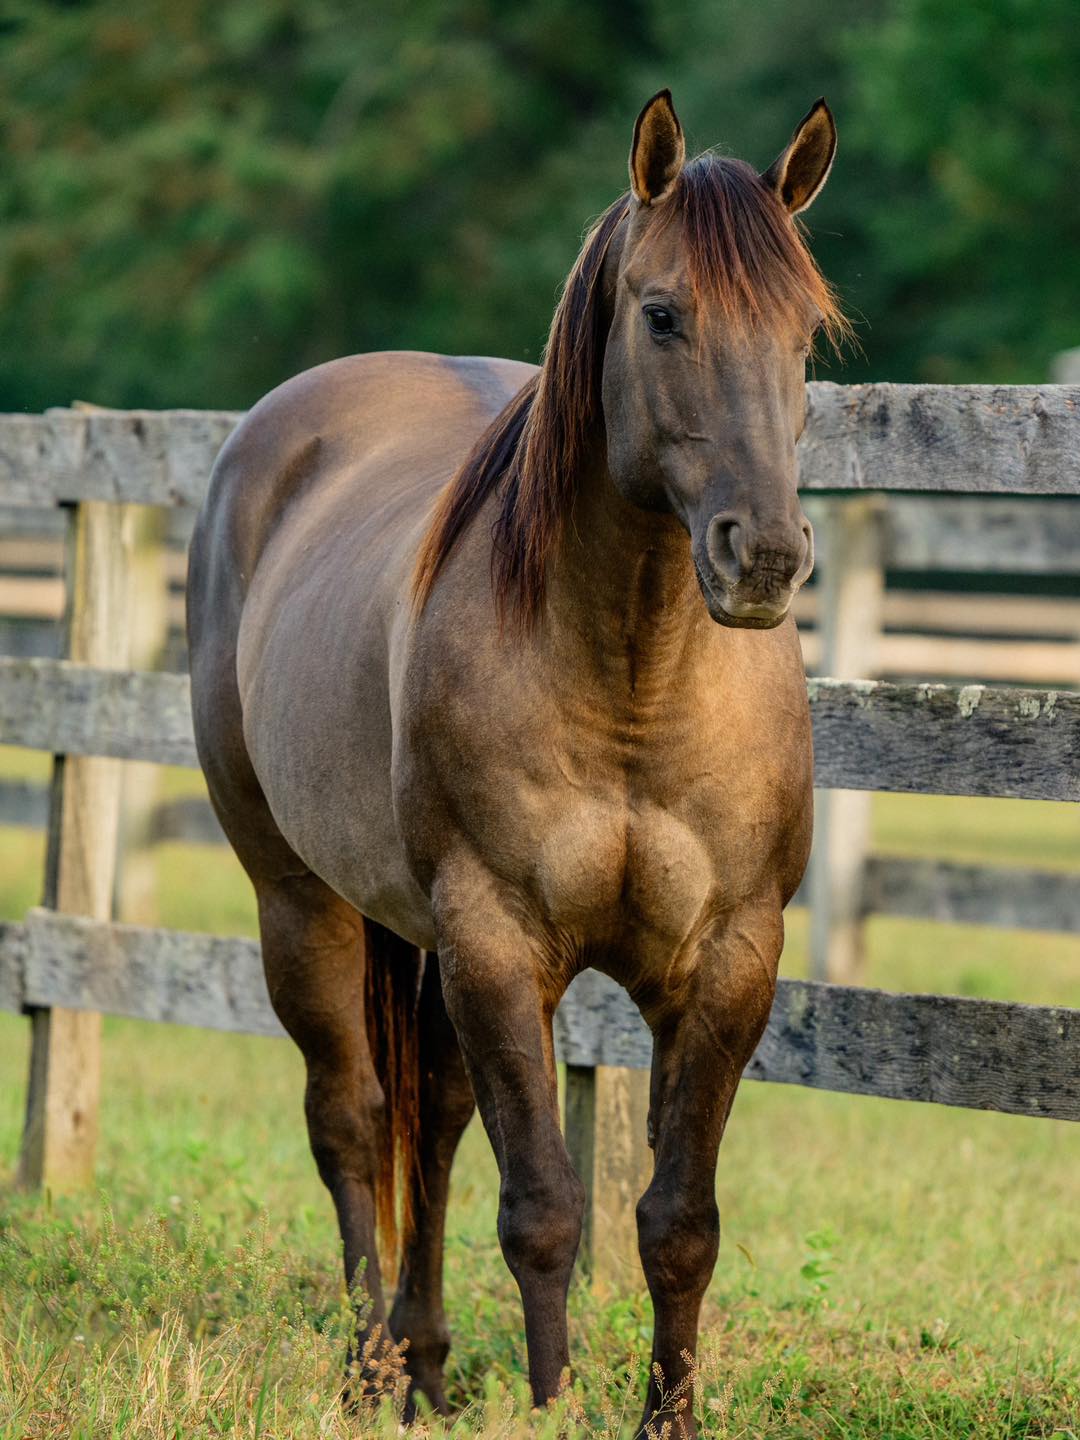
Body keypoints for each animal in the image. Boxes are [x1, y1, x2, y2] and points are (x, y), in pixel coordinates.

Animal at [187, 89, 845, 1434]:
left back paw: (427, 1364)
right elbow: (542, 1207)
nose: (763, 558)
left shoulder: (730, 959)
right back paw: (372, 1365)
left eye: (807, 331)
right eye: (662, 313)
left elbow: (678, 1222)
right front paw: (549, 1403)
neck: (635, 681)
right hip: (301, 901)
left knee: (431, 1125)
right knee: (353, 1120)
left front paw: (666, 1416)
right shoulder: (498, 941)